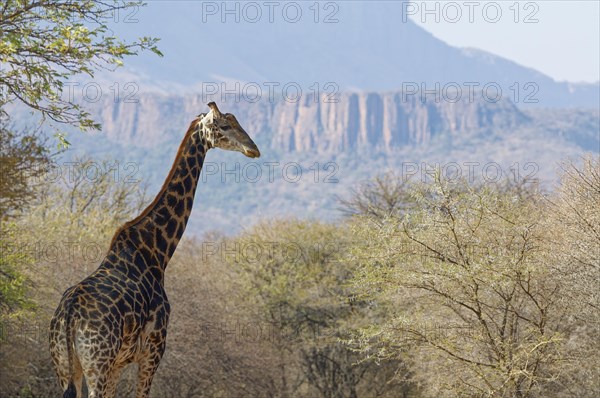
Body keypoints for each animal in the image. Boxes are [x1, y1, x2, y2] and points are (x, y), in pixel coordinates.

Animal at [49, 103, 260, 398]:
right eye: (225, 126)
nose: (254, 149)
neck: (156, 251)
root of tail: (69, 315)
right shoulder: (154, 349)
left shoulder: (119, 363)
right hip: (97, 363)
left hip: (66, 366)